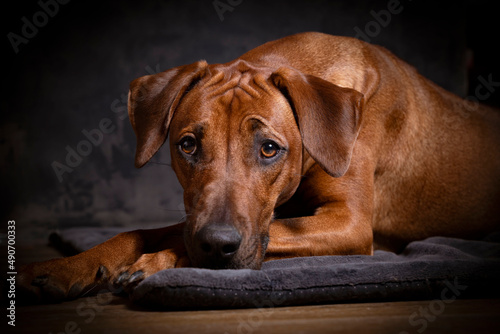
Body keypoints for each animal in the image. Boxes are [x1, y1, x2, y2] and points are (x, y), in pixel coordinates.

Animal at [17, 32, 498, 302]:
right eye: (187, 145)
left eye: (269, 149)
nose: (217, 244)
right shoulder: (202, 214)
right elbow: (141, 232)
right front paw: (64, 268)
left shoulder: (350, 223)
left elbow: (222, 237)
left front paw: (159, 262)